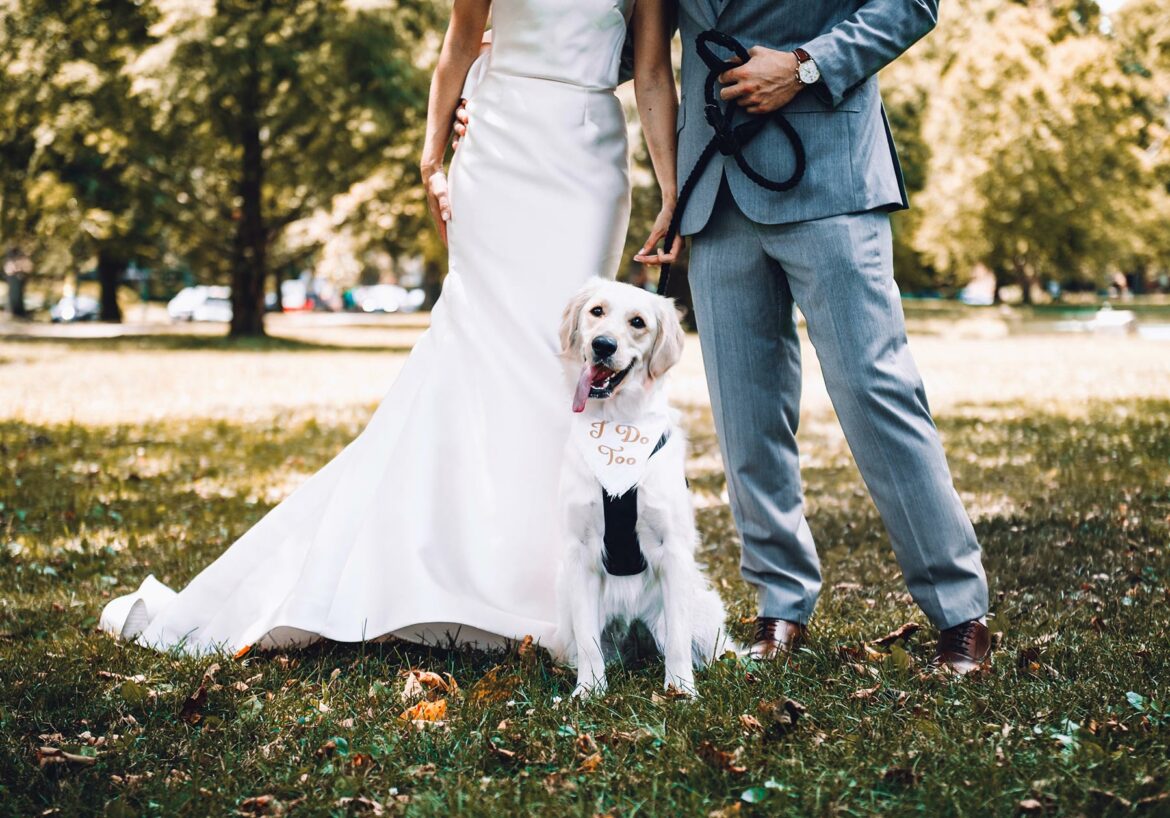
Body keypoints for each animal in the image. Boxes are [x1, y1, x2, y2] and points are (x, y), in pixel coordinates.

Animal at [549, 277, 730, 697]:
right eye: (596, 311)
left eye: (637, 322)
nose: (603, 345)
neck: (617, 425)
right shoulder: (579, 552)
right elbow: (589, 642)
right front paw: (589, 691)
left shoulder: (673, 549)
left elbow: (678, 639)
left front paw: (681, 691)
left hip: (703, 609)